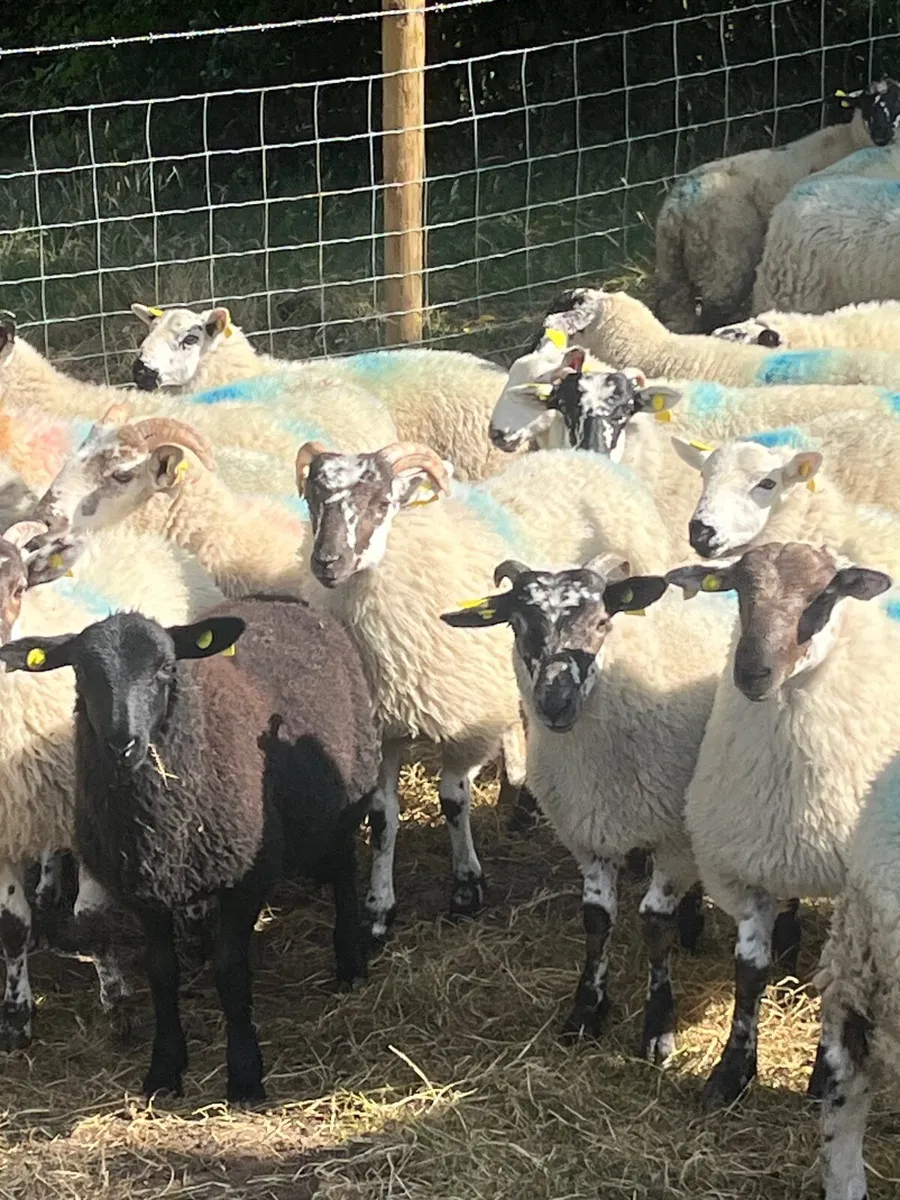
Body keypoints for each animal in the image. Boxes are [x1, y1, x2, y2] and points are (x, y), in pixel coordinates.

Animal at [0, 518, 223, 1049]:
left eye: (17, 588)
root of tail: (138, 536)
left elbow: (93, 920)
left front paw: (118, 1006)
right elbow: (10, 929)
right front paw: (16, 1015)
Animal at [0, 595, 378, 1101]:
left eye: (165, 667)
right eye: (80, 669)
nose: (122, 743)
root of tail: (279, 598)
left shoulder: (246, 877)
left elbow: (230, 970)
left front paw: (244, 1075)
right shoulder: (145, 888)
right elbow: (161, 972)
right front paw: (164, 1069)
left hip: (346, 793)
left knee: (342, 868)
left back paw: (351, 962)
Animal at [294, 439, 677, 943]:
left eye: (381, 503)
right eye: (312, 500)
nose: (327, 563)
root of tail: (578, 454)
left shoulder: (467, 723)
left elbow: (453, 801)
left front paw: (466, 887)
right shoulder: (383, 729)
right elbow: (382, 818)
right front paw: (378, 909)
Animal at [441, 554, 735, 1059]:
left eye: (602, 622)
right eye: (517, 624)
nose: (554, 702)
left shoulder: (673, 839)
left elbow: (654, 924)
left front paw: (659, 1025)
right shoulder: (588, 833)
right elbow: (597, 921)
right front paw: (586, 1011)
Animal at [665, 540, 900, 1110]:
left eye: (826, 594)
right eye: (736, 588)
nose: (752, 673)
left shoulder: (852, 894)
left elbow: (835, 982)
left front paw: (822, 1076)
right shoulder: (744, 868)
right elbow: (749, 974)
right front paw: (730, 1073)